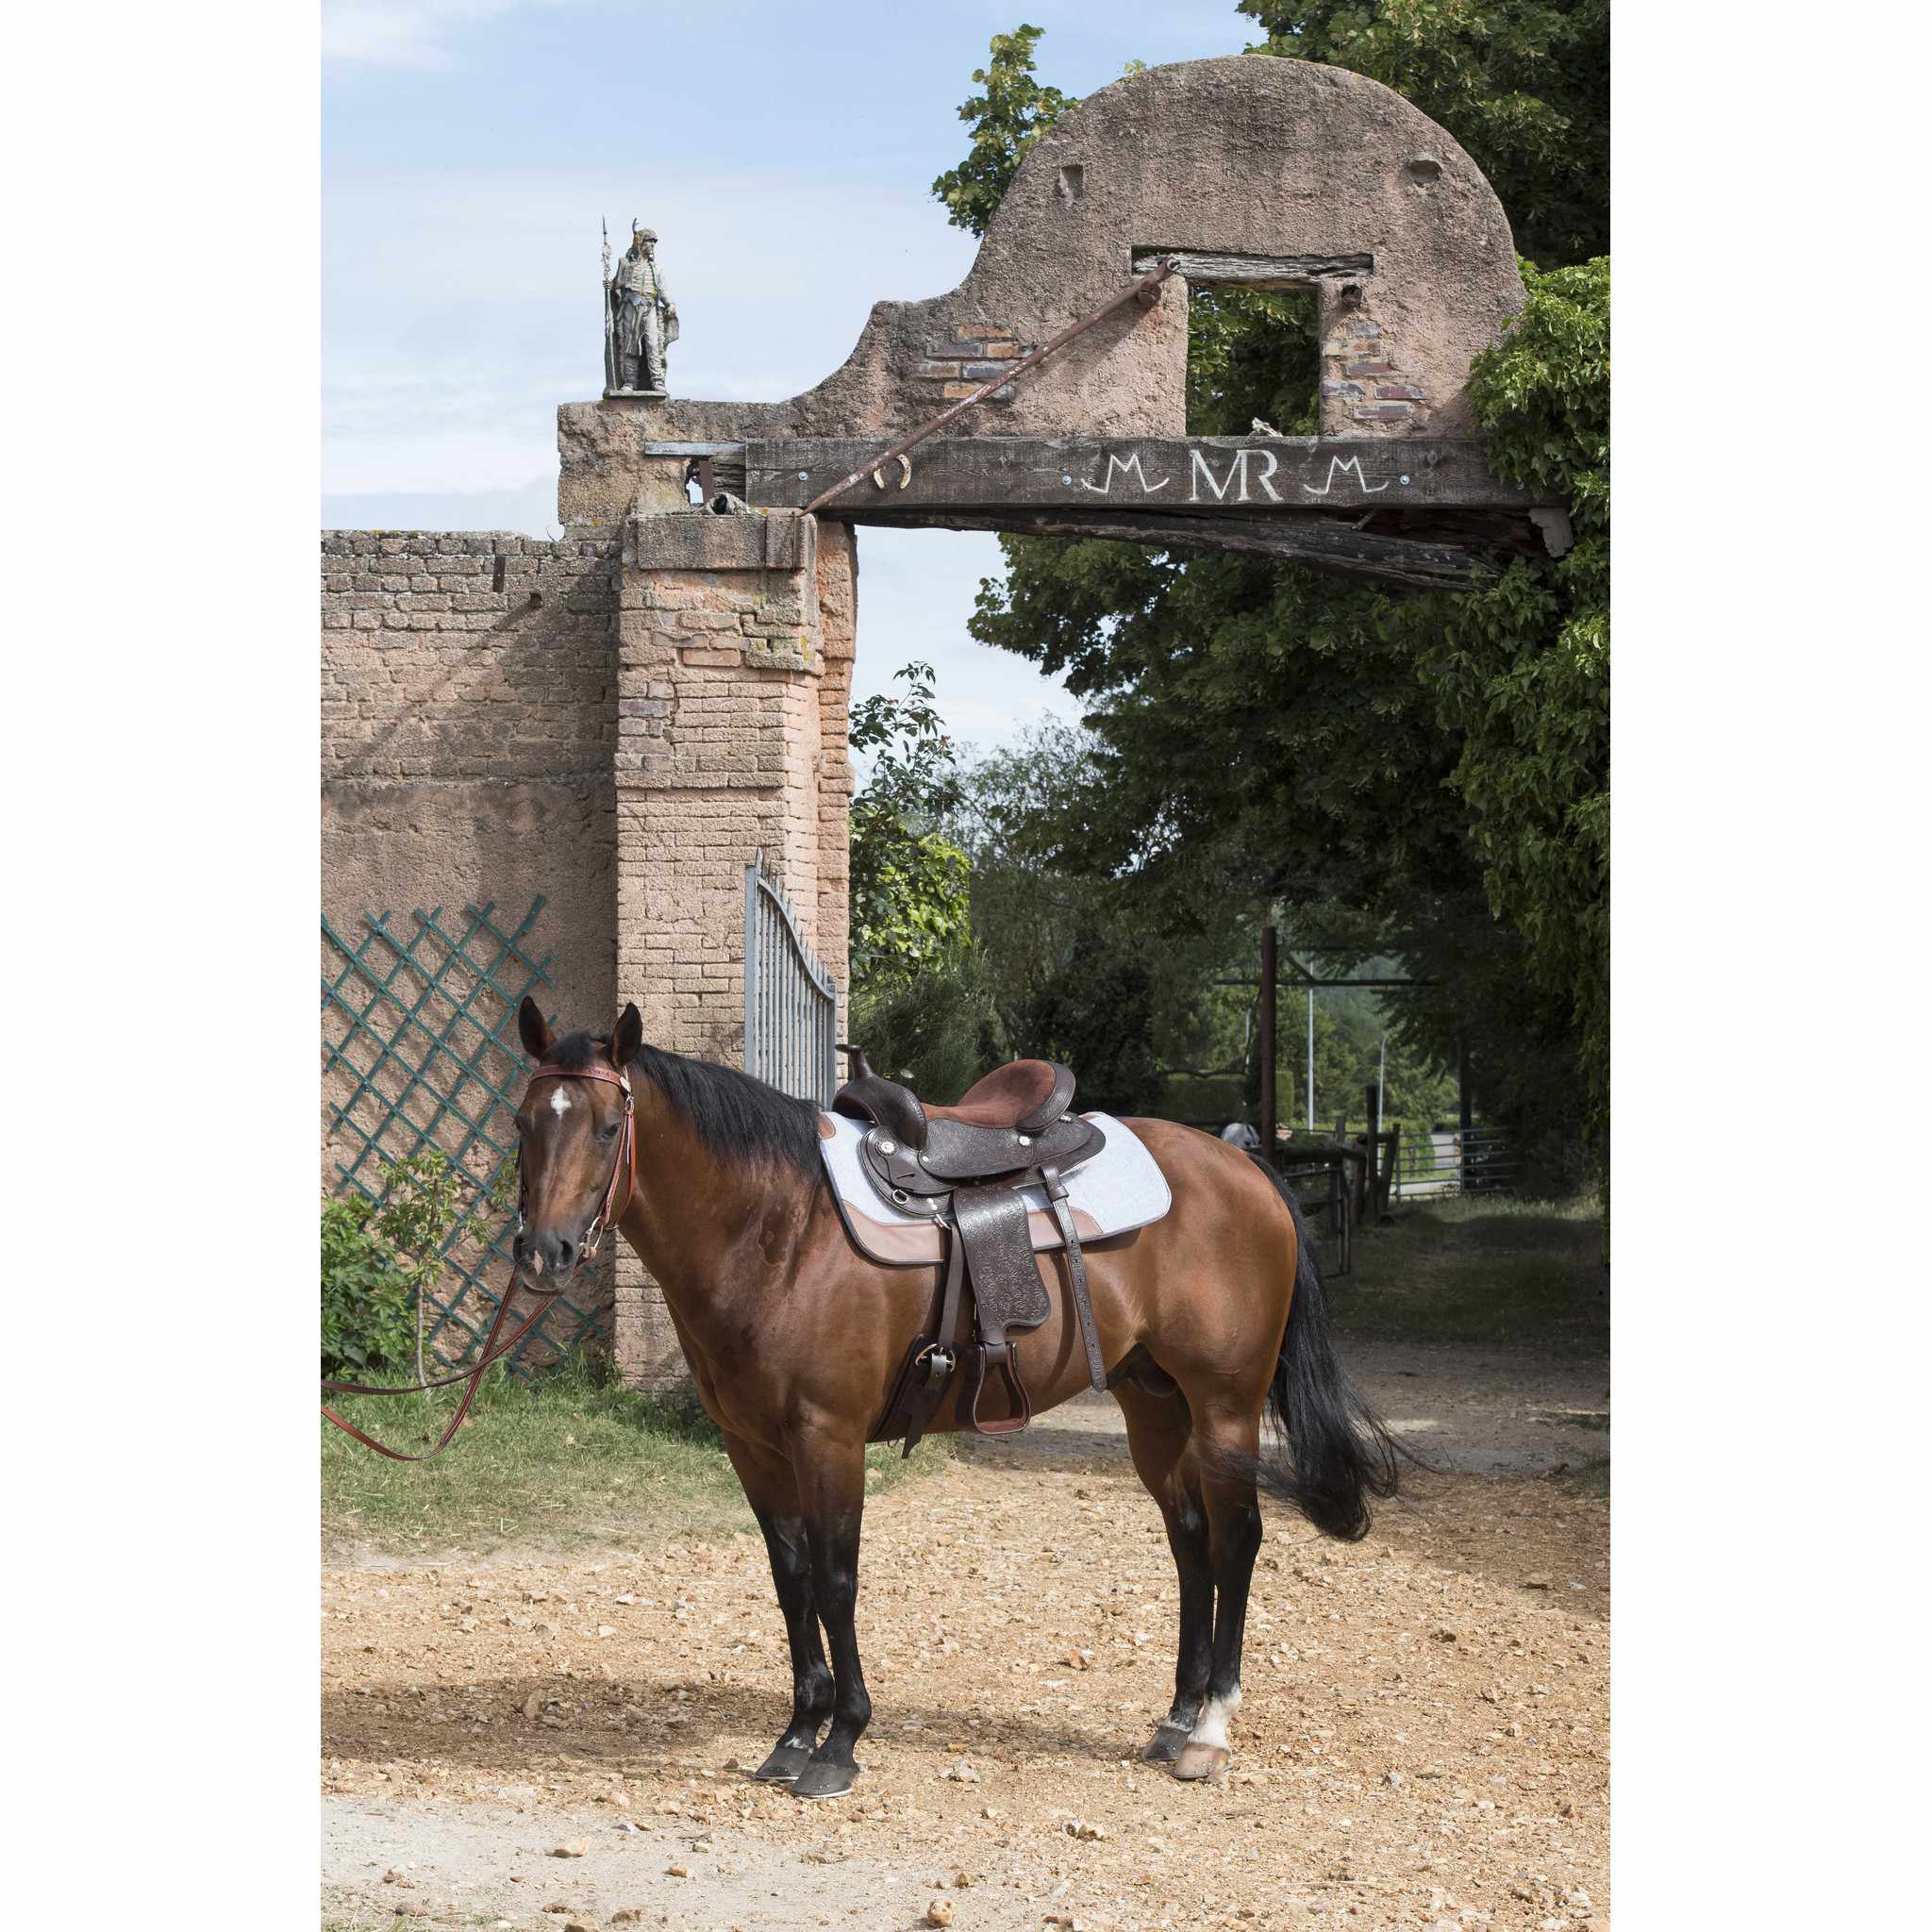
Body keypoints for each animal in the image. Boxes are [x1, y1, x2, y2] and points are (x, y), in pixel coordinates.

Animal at [510, 998, 1399, 1801]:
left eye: (606, 1128)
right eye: (524, 1124)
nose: (544, 1251)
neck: (778, 1229)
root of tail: (1246, 1167)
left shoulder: (827, 1438)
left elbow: (836, 1579)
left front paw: (841, 1743)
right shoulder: (752, 1447)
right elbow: (790, 1578)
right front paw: (796, 1735)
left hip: (1225, 1406)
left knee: (1237, 1541)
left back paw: (1211, 1732)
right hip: (1154, 1403)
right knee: (1191, 1542)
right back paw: (1177, 1718)